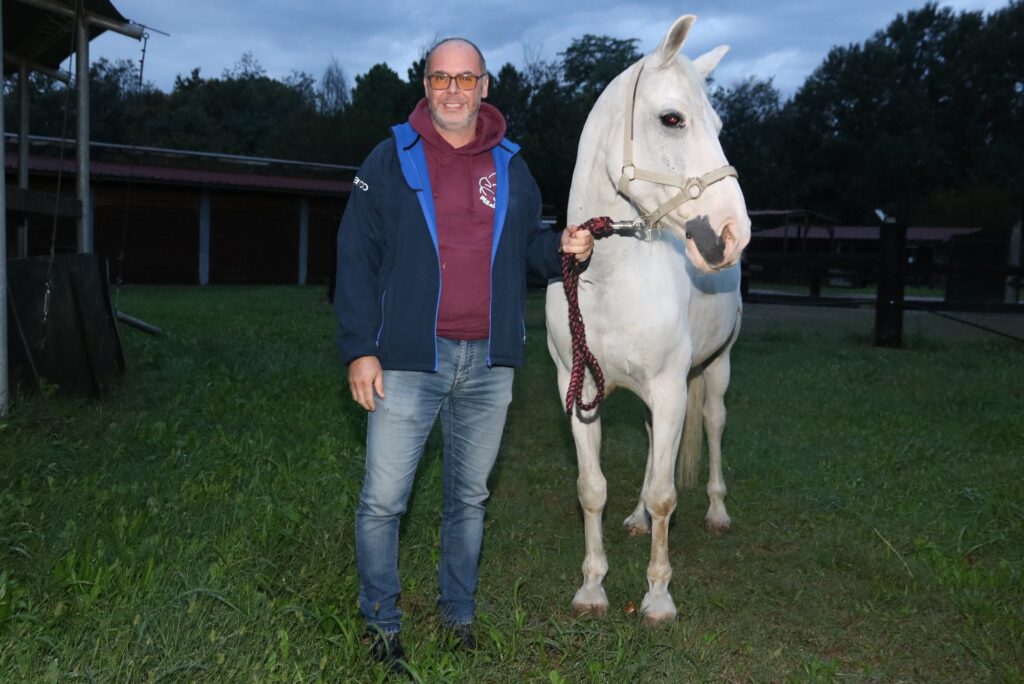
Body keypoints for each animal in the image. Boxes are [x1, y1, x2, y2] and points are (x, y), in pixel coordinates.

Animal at [544, 14, 753, 626]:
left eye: (719, 124)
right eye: (672, 118)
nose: (731, 234)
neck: (605, 278)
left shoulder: (669, 387)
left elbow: (666, 494)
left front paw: (658, 598)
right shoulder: (578, 386)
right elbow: (592, 489)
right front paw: (592, 588)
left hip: (715, 371)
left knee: (712, 426)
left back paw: (717, 512)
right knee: (650, 440)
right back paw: (636, 519)